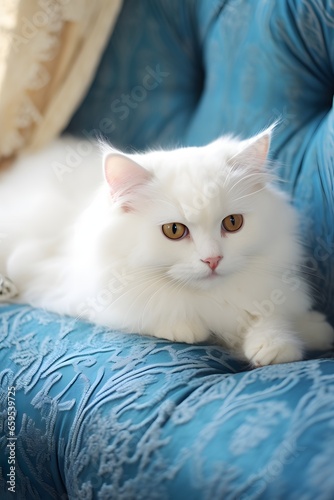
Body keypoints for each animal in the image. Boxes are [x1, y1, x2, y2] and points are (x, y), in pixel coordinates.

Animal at [0, 130, 334, 368]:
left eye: (233, 222)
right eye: (174, 230)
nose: (213, 259)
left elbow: (274, 316)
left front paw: (285, 341)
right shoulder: (67, 284)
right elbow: (151, 310)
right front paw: (185, 327)